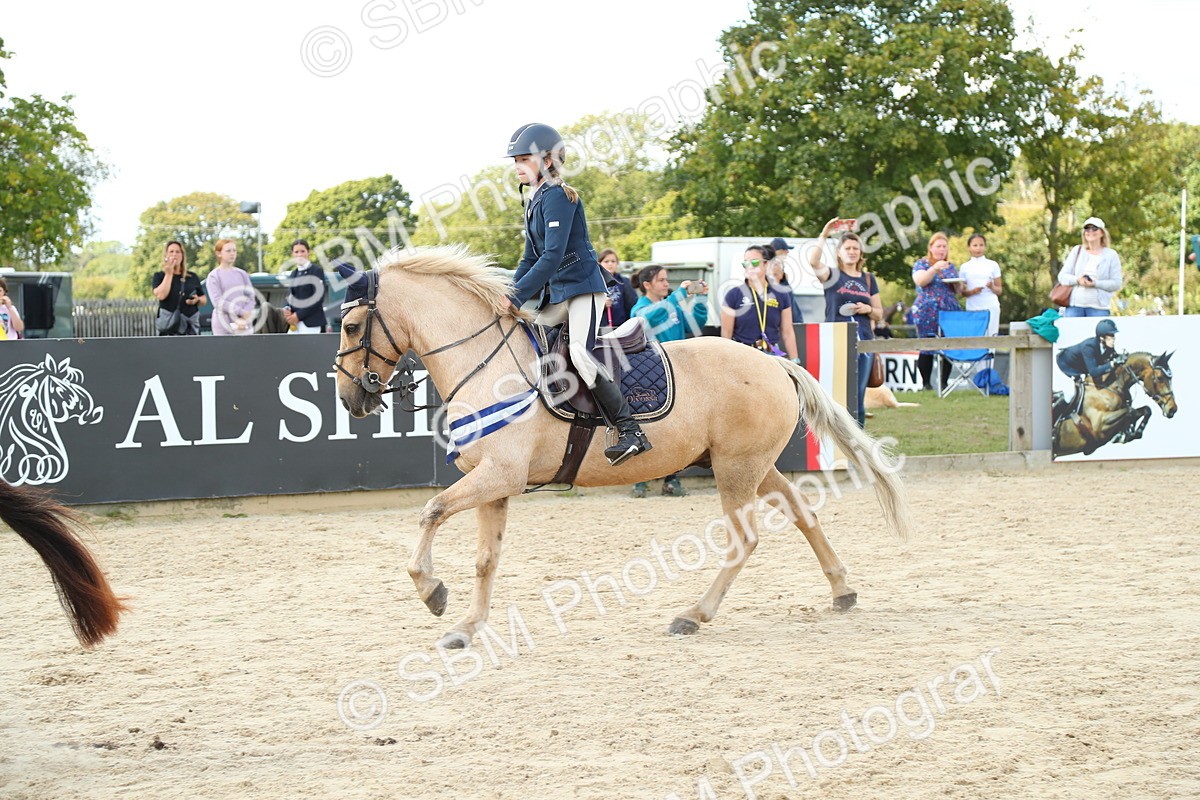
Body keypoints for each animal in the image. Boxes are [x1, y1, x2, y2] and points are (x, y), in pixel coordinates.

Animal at [334, 245, 912, 649]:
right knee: (801, 512)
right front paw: (466, 627)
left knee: (744, 539)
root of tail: (772, 360)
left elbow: (431, 511)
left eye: (352, 325)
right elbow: (485, 559)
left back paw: (692, 615)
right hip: (748, 465)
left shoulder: (500, 475)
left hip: (736, 470)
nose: (350, 398)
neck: (487, 364)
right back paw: (841, 591)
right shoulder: (493, 483)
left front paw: (431, 592)